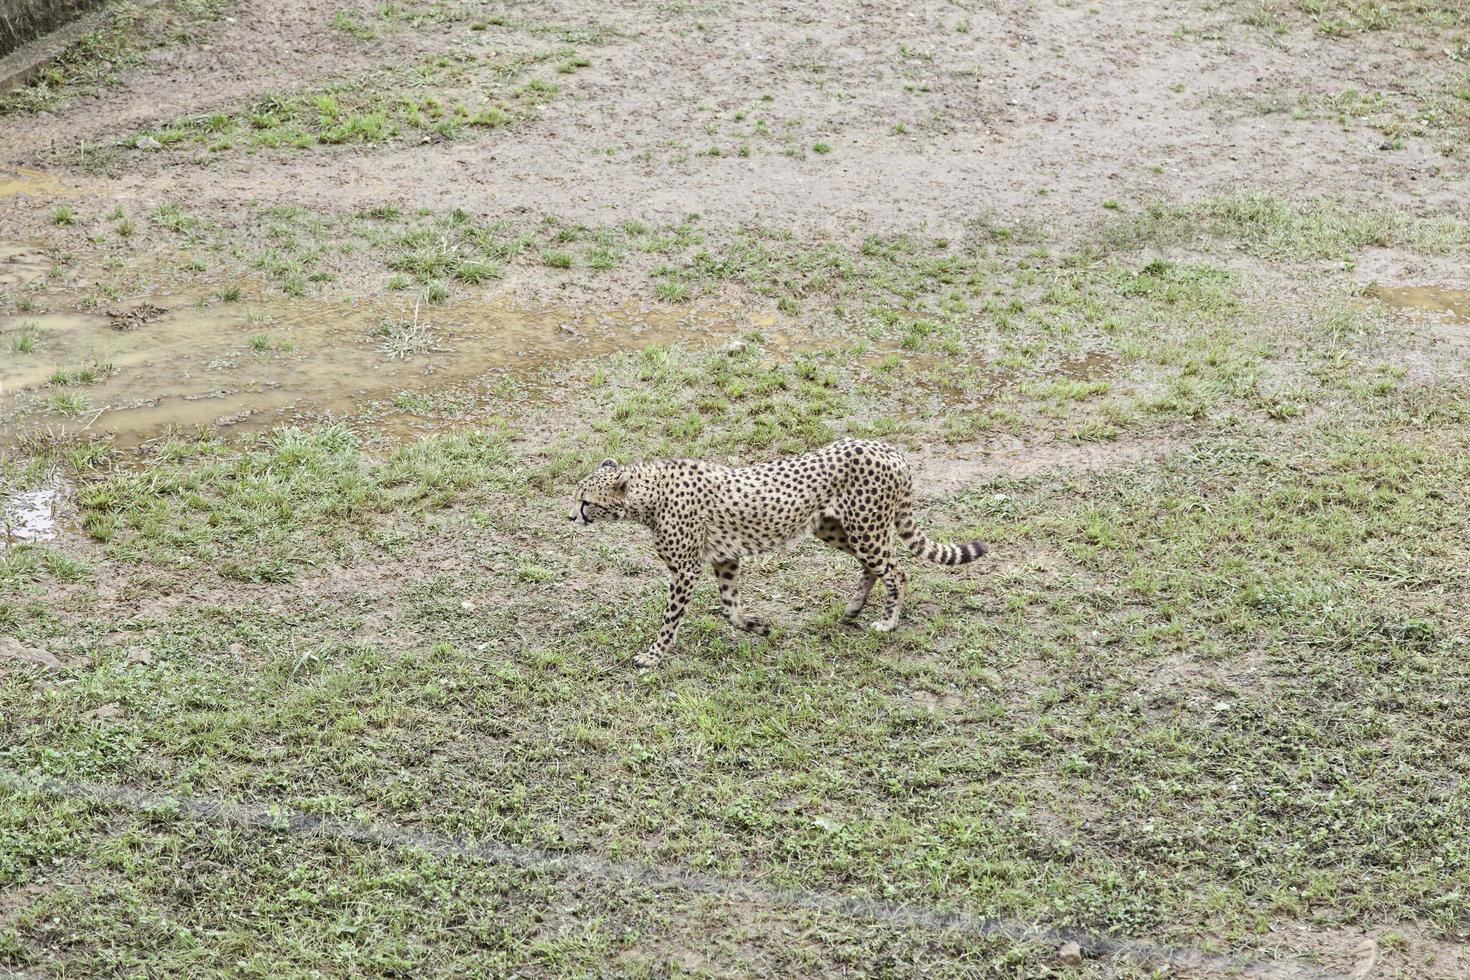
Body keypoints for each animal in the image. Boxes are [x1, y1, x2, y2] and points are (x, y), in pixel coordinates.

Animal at [567, 440, 993, 669]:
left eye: (587, 501)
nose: (571, 516)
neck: (649, 495)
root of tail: (887, 448)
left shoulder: (686, 570)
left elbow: (670, 620)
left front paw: (653, 656)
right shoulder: (725, 559)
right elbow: (731, 609)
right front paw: (757, 626)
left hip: (865, 529)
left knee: (897, 571)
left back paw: (887, 622)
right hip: (835, 529)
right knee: (874, 568)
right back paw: (854, 608)